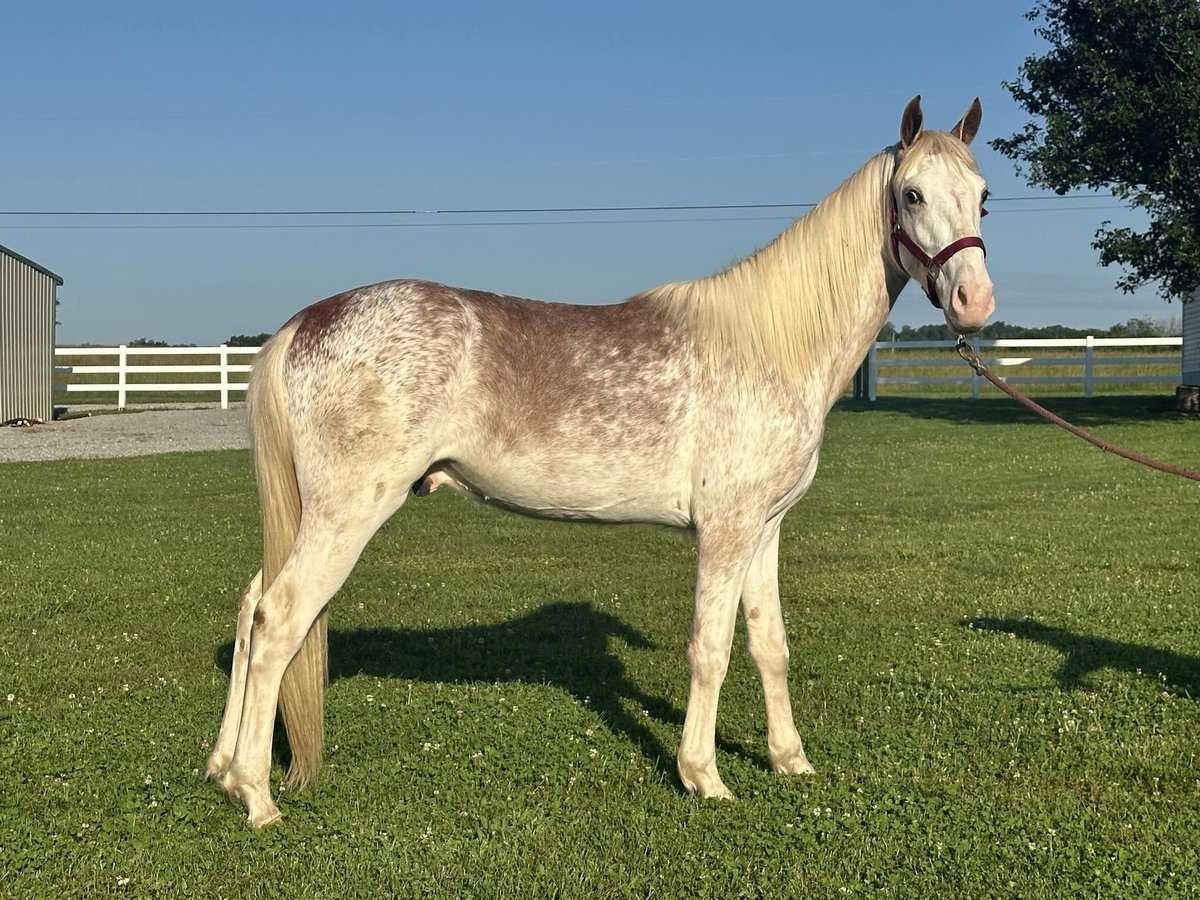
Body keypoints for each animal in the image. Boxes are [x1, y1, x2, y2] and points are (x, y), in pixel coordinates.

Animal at [206, 97, 993, 825]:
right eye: (912, 194)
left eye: (983, 195)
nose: (974, 301)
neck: (768, 345)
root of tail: (306, 323)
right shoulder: (726, 532)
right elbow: (711, 648)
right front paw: (704, 776)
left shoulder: (764, 529)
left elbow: (770, 645)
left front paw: (788, 760)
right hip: (346, 513)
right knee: (279, 619)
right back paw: (256, 795)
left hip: (310, 516)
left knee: (249, 608)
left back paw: (219, 767)